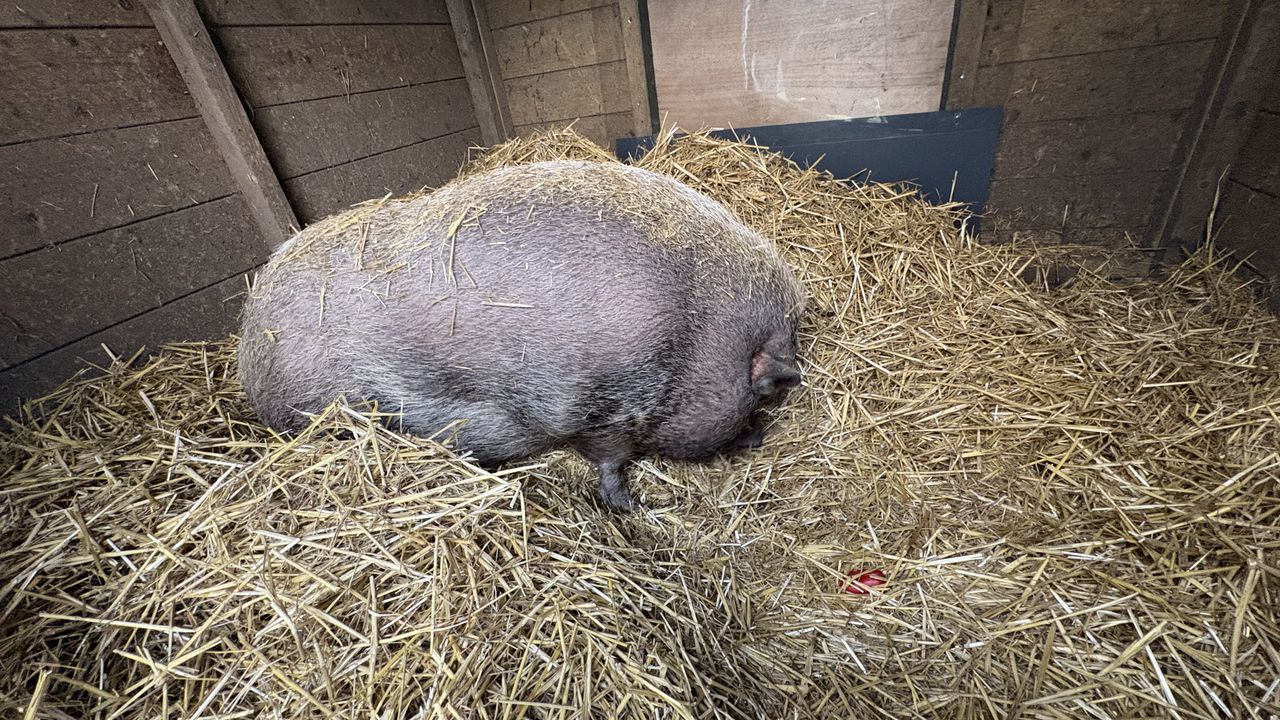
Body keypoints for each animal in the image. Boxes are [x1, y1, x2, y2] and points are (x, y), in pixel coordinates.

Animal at [238, 160, 804, 510]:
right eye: (761, 398)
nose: (762, 436)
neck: (696, 340)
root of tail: (247, 341)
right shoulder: (597, 407)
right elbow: (610, 466)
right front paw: (634, 507)